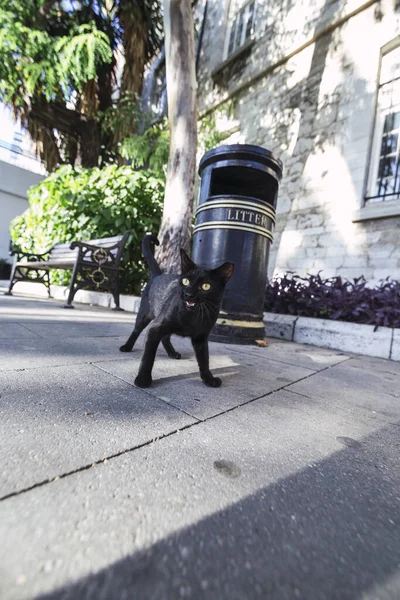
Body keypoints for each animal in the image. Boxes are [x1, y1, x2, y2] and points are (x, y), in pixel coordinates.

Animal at [121, 234, 234, 390]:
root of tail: (157, 275)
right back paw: (127, 346)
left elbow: (204, 359)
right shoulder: (155, 328)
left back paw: (172, 353)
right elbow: (148, 356)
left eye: (205, 286)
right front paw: (143, 378)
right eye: (186, 281)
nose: (188, 294)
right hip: (144, 315)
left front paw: (208, 378)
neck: (193, 315)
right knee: (136, 331)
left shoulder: (201, 338)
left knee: (165, 337)